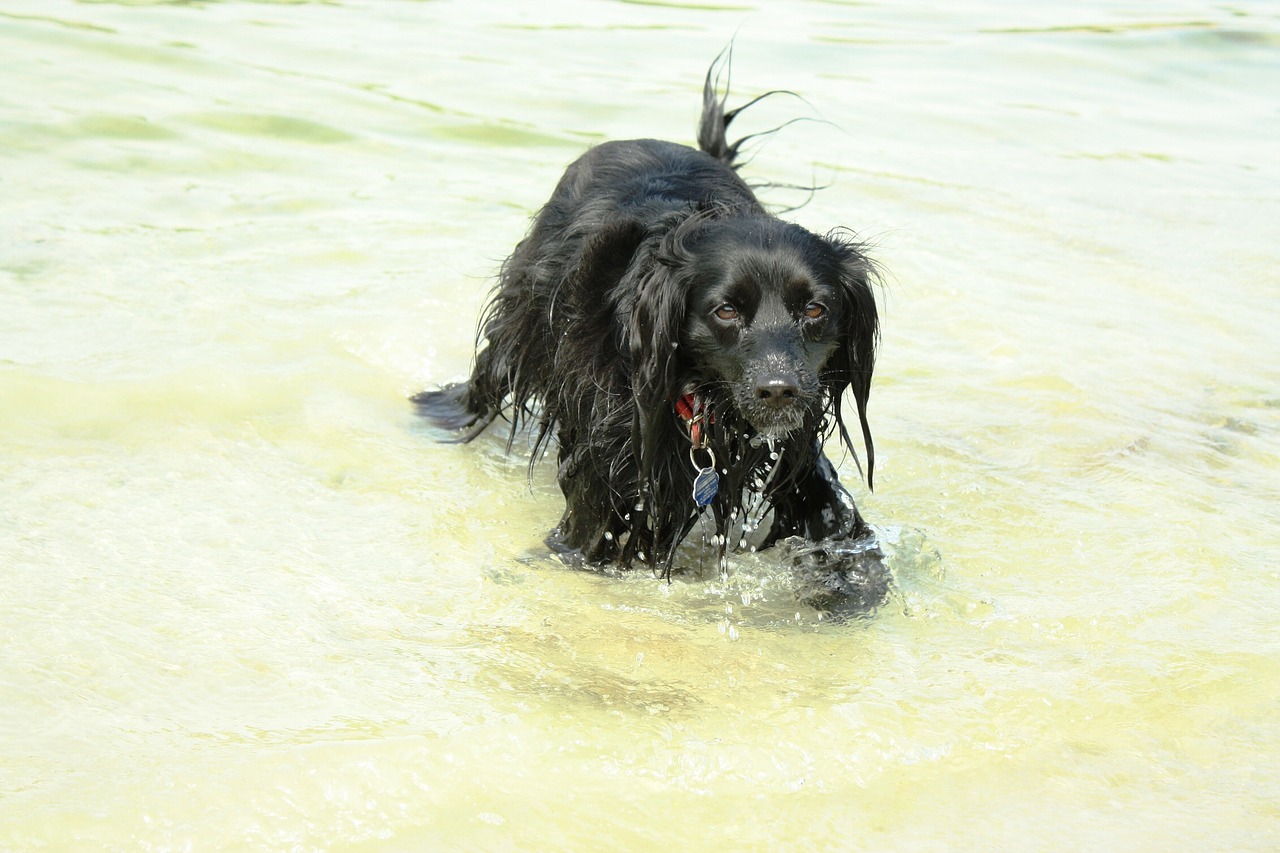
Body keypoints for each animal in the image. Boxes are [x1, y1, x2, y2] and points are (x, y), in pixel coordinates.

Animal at [414, 54, 885, 612]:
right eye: (726, 310)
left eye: (814, 308)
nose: (778, 391)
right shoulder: (609, 471)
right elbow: (591, 536)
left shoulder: (790, 446)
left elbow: (834, 513)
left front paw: (850, 582)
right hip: (518, 323)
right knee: (486, 379)